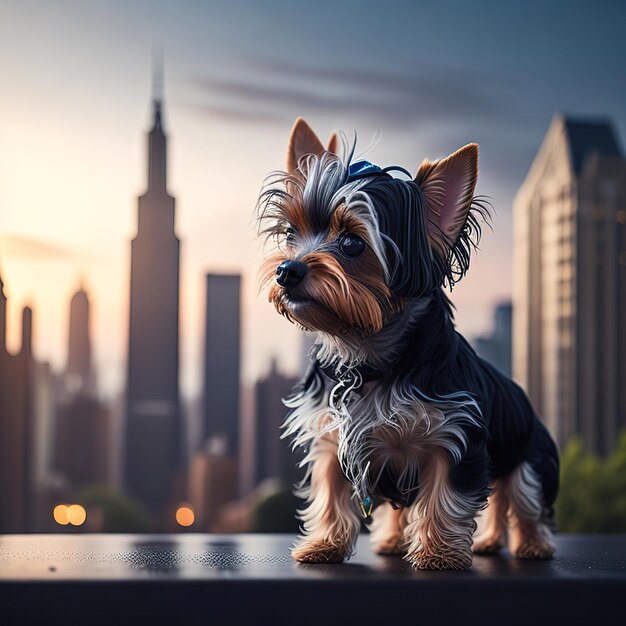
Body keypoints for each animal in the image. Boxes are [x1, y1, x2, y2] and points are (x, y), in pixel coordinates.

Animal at [256, 118, 560, 572]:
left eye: (352, 243)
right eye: (293, 233)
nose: (286, 270)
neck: (366, 355)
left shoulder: (456, 436)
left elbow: (445, 498)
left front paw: (438, 555)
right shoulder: (332, 439)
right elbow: (330, 495)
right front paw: (324, 545)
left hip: (528, 457)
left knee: (523, 501)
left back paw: (533, 545)